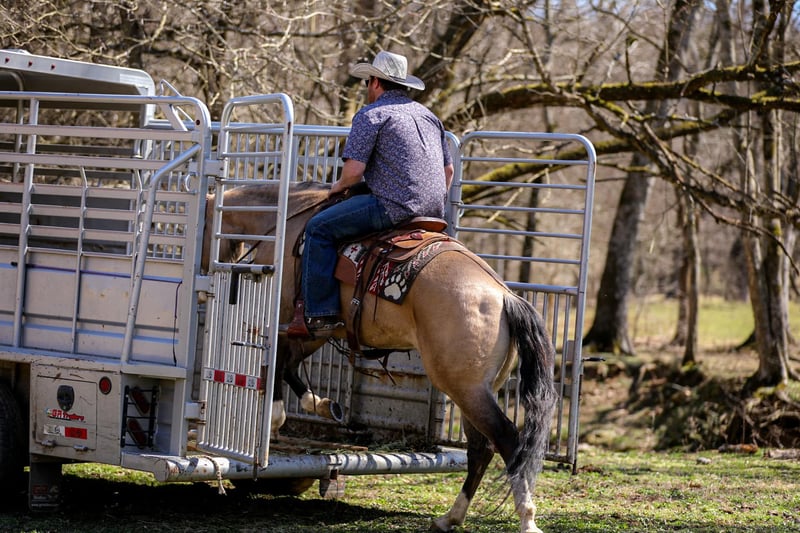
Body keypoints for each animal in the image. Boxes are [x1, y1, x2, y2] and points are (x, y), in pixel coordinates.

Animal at [201, 180, 557, 533]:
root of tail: (505, 296)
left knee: (507, 441)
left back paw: (527, 521)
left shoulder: (287, 317)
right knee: (480, 449)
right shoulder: (320, 328)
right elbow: (289, 365)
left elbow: (278, 362)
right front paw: (321, 405)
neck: (285, 221)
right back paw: (450, 518)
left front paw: (278, 417)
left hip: (465, 388)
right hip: (476, 389)